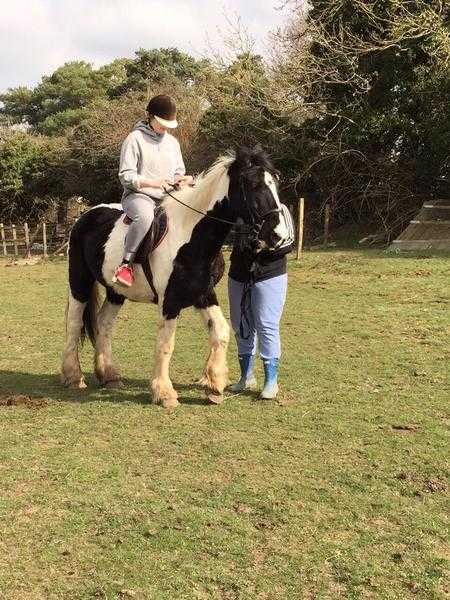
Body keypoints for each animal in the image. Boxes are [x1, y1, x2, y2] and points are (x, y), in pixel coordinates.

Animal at [60, 146, 288, 408]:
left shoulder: (203, 294)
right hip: (79, 282)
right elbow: (166, 344)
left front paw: (215, 385)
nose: (278, 234)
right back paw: (73, 377)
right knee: (74, 323)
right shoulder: (169, 301)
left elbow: (220, 331)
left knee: (104, 323)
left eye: (275, 182)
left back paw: (109, 375)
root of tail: (85, 216)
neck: (190, 237)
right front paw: (164, 393)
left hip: (116, 291)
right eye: (252, 184)